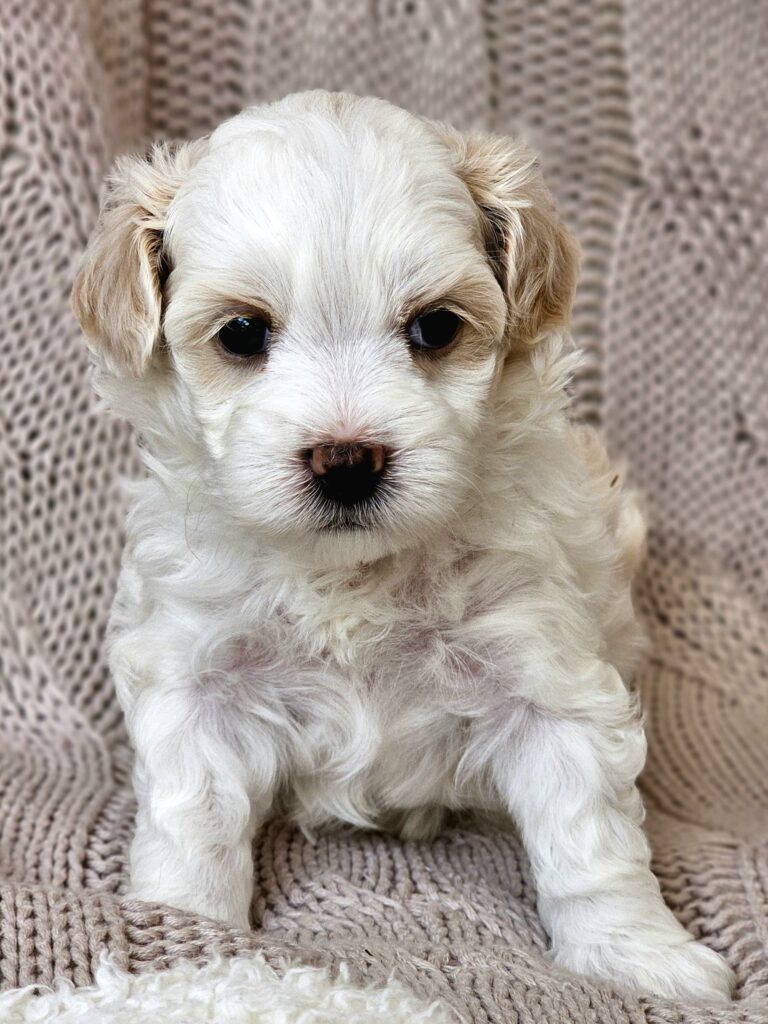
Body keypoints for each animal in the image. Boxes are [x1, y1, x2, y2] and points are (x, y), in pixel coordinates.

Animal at [70, 88, 733, 999]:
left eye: (436, 328)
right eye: (241, 333)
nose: (346, 461)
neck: (354, 575)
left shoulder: (543, 671)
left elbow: (588, 837)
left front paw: (635, 957)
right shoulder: (198, 674)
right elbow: (191, 816)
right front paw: (184, 927)